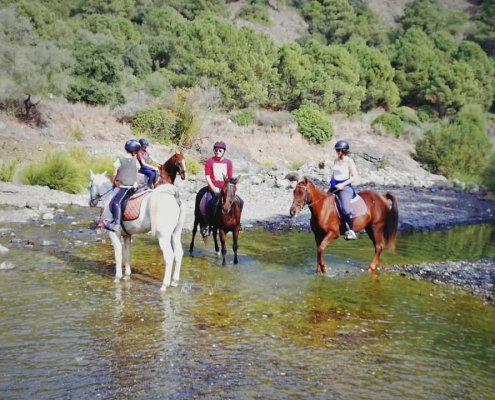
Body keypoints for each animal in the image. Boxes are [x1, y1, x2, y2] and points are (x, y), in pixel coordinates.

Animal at [88, 152, 187, 290]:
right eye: (179, 162)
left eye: (89, 186)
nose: (91, 202)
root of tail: (174, 197)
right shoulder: (126, 236)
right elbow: (127, 254)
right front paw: (127, 275)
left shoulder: (114, 234)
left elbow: (118, 256)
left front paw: (117, 277)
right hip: (175, 233)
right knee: (178, 253)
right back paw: (174, 282)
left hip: (163, 236)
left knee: (169, 256)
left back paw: (164, 285)